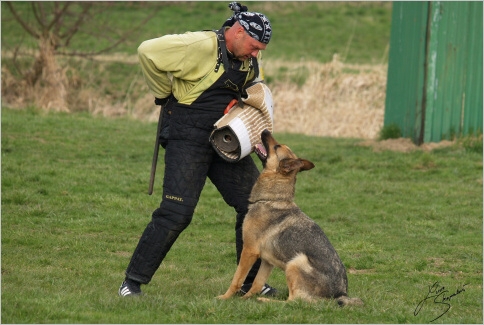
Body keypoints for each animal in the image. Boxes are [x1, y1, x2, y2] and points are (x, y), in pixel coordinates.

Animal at [219, 128, 364, 306]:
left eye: (277, 147)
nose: (265, 130)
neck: (272, 199)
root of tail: (340, 294)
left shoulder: (249, 251)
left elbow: (237, 279)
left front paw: (225, 298)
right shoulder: (267, 261)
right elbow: (256, 284)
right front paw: (245, 300)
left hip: (295, 262)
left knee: (294, 301)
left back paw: (265, 300)